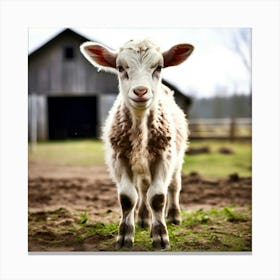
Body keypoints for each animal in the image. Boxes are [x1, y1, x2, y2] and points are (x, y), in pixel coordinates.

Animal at [80, 37, 194, 249]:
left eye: (159, 67)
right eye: (120, 68)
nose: (141, 91)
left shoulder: (163, 157)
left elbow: (158, 197)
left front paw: (160, 236)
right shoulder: (119, 158)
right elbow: (127, 198)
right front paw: (125, 235)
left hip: (177, 156)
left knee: (174, 185)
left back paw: (173, 216)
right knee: (142, 189)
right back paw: (142, 218)